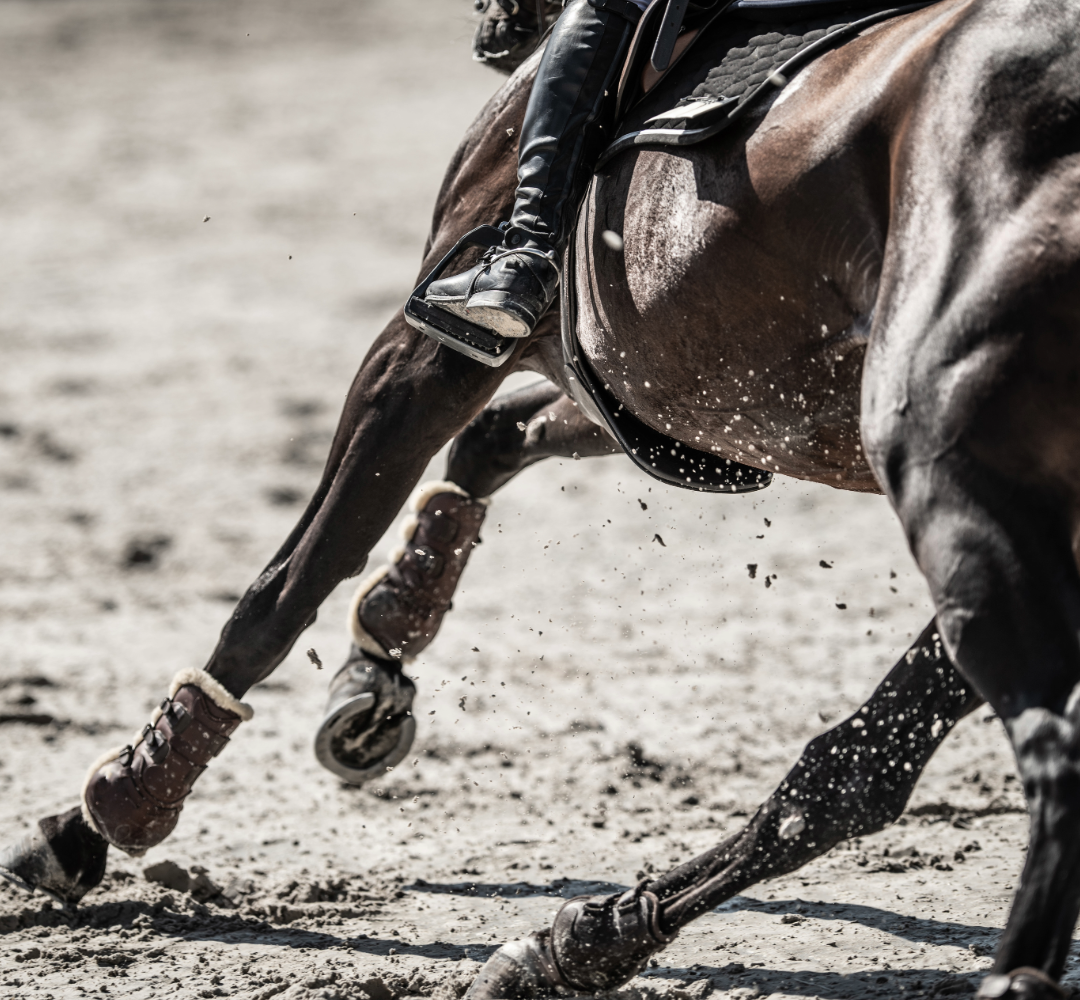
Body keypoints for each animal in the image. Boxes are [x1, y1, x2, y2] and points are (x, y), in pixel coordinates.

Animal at [4, 0, 1080, 996]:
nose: (492, 27)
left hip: (941, 464)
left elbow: (293, 579)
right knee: (861, 769)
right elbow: (493, 442)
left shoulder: (435, 344)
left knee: (1030, 750)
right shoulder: (669, 387)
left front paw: (111, 809)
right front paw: (379, 658)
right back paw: (592, 940)